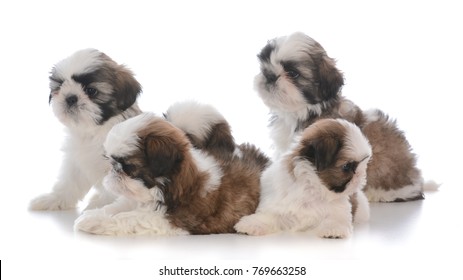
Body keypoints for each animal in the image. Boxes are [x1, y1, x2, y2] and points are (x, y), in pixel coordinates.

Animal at [29, 48, 141, 210]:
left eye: (91, 91)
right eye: (60, 86)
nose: (70, 97)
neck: (94, 131)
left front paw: (101, 207)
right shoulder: (76, 162)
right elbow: (69, 182)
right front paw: (53, 199)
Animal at [236, 118, 374, 238]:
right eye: (346, 167)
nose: (361, 176)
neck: (313, 188)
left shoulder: (338, 209)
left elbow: (335, 218)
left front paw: (333, 229)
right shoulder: (280, 204)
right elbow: (269, 216)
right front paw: (251, 224)